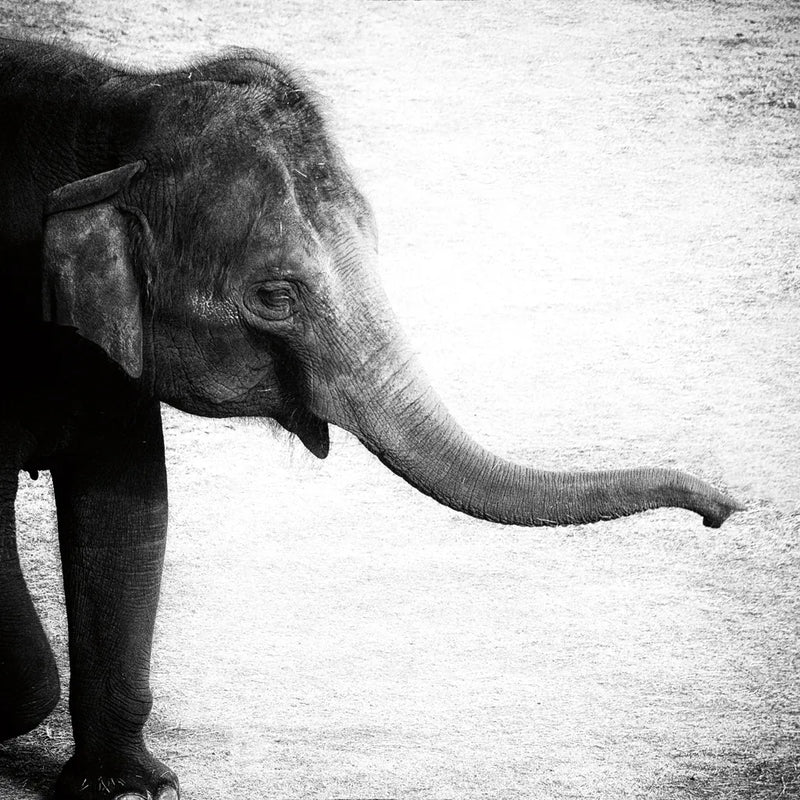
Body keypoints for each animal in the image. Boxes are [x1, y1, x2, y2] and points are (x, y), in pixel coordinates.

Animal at [0, 38, 742, 800]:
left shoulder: (111, 352)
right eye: (276, 295)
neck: (118, 107)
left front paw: (134, 788)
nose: (725, 509)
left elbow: (129, 514)